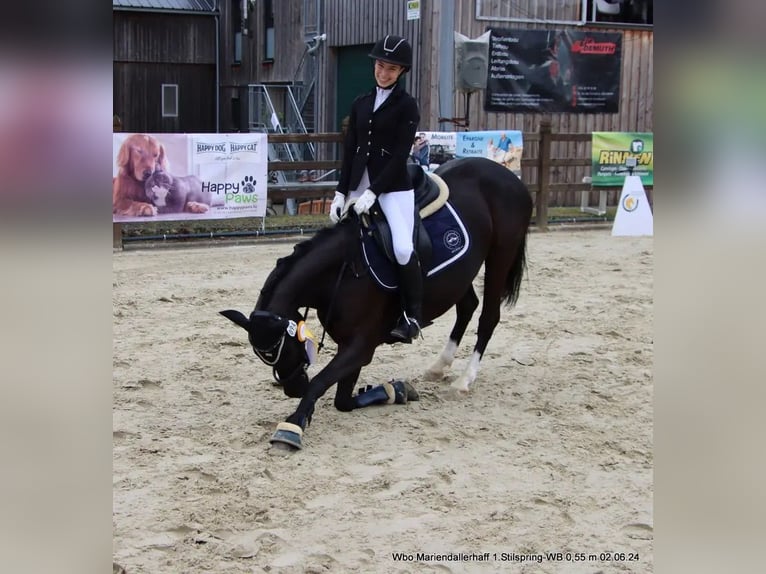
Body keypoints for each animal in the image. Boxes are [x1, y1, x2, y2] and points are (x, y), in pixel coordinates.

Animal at [222, 158, 536, 450]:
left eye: (281, 348)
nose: (293, 389)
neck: (343, 270)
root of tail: (508, 175)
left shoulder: (361, 346)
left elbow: (321, 382)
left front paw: (293, 425)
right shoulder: (351, 346)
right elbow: (343, 400)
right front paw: (397, 390)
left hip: (500, 256)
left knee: (488, 316)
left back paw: (464, 381)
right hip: (460, 272)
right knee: (467, 306)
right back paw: (438, 367)